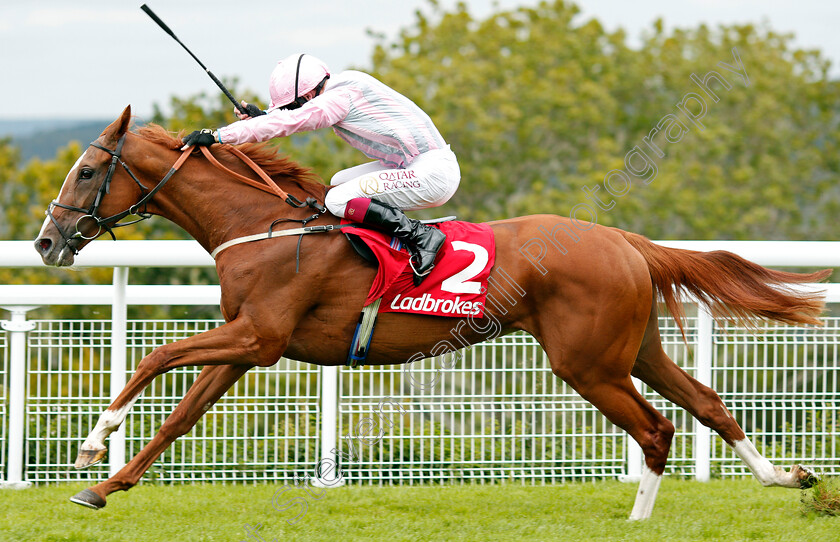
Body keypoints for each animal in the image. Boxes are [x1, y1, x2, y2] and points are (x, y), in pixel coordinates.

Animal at [36, 106, 832, 524]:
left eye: (87, 170)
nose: (46, 241)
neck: (262, 225)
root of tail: (627, 241)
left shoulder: (256, 336)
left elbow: (154, 355)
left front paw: (90, 444)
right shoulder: (247, 347)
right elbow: (179, 416)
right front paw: (103, 484)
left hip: (587, 363)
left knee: (657, 427)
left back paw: (640, 520)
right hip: (633, 350)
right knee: (708, 404)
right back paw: (783, 478)